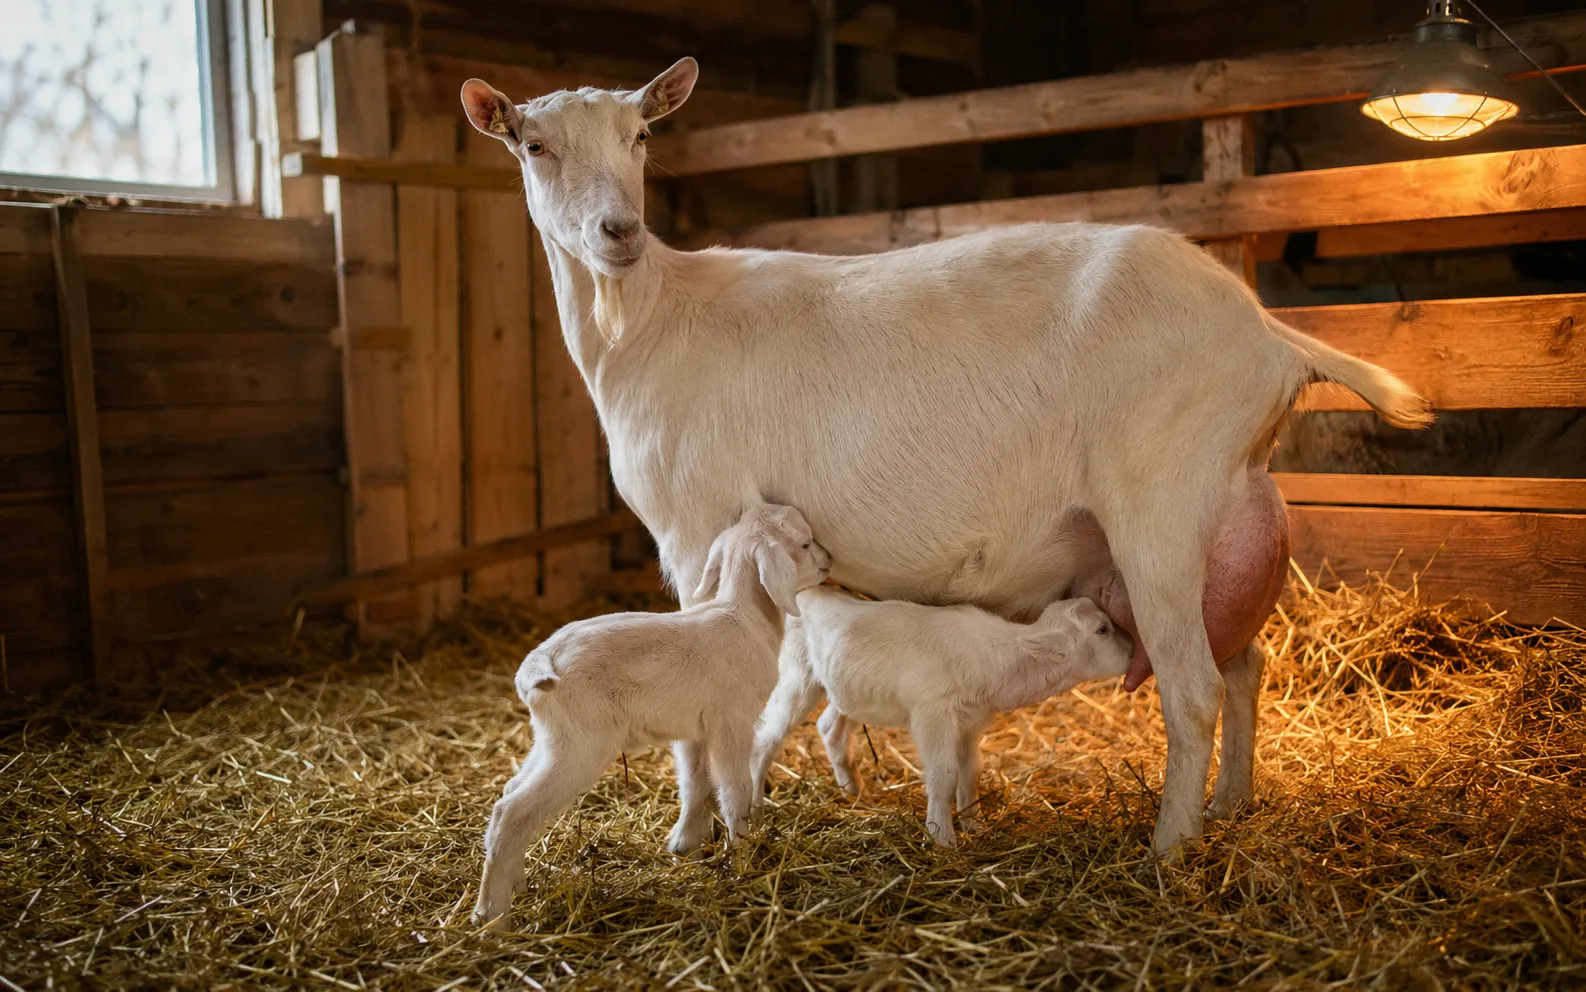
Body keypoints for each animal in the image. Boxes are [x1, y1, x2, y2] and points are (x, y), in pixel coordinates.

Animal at [472, 502, 830, 927]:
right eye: (805, 543)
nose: (828, 561)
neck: (745, 618)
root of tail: (536, 666)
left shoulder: (693, 729)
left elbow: (694, 783)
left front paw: (686, 846)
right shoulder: (732, 723)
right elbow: (733, 791)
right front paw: (742, 854)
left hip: (553, 737)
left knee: (508, 794)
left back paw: (518, 885)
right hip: (583, 744)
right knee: (513, 811)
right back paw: (492, 915)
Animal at [752, 589, 1133, 846]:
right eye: (1102, 629)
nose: (1133, 648)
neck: (996, 657)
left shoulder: (969, 720)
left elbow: (971, 771)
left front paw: (974, 824)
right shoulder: (932, 713)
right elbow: (944, 774)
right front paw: (942, 838)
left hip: (848, 687)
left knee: (829, 727)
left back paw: (856, 794)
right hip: (797, 674)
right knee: (765, 740)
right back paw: (755, 810)